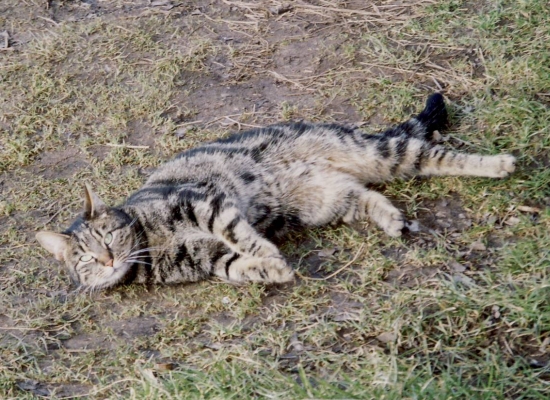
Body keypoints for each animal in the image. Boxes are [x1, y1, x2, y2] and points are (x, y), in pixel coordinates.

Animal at [36, 93, 516, 291]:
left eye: (107, 236)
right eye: (84, 258)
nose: (106, 261)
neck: (148, 247)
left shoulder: (201, 204)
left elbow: (240, 235)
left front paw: (267, 254)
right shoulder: (209, 260)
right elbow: (239, 267)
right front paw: (276, 270)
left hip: (380, 152)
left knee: (435, 154)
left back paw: (498, 164)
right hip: (331, 198)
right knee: (367, 194)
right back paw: (391, 218)